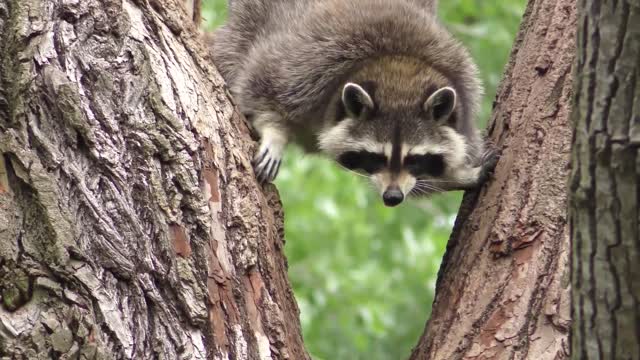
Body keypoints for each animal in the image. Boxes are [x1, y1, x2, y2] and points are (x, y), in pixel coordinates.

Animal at [212, 0, 498, 205]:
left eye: (415, 160)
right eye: (376, 156)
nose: (392, 198)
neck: (397, 68)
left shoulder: (464, 97)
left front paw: (459, 175)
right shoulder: (309, 64)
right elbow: (262, 84)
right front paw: (275, 132)